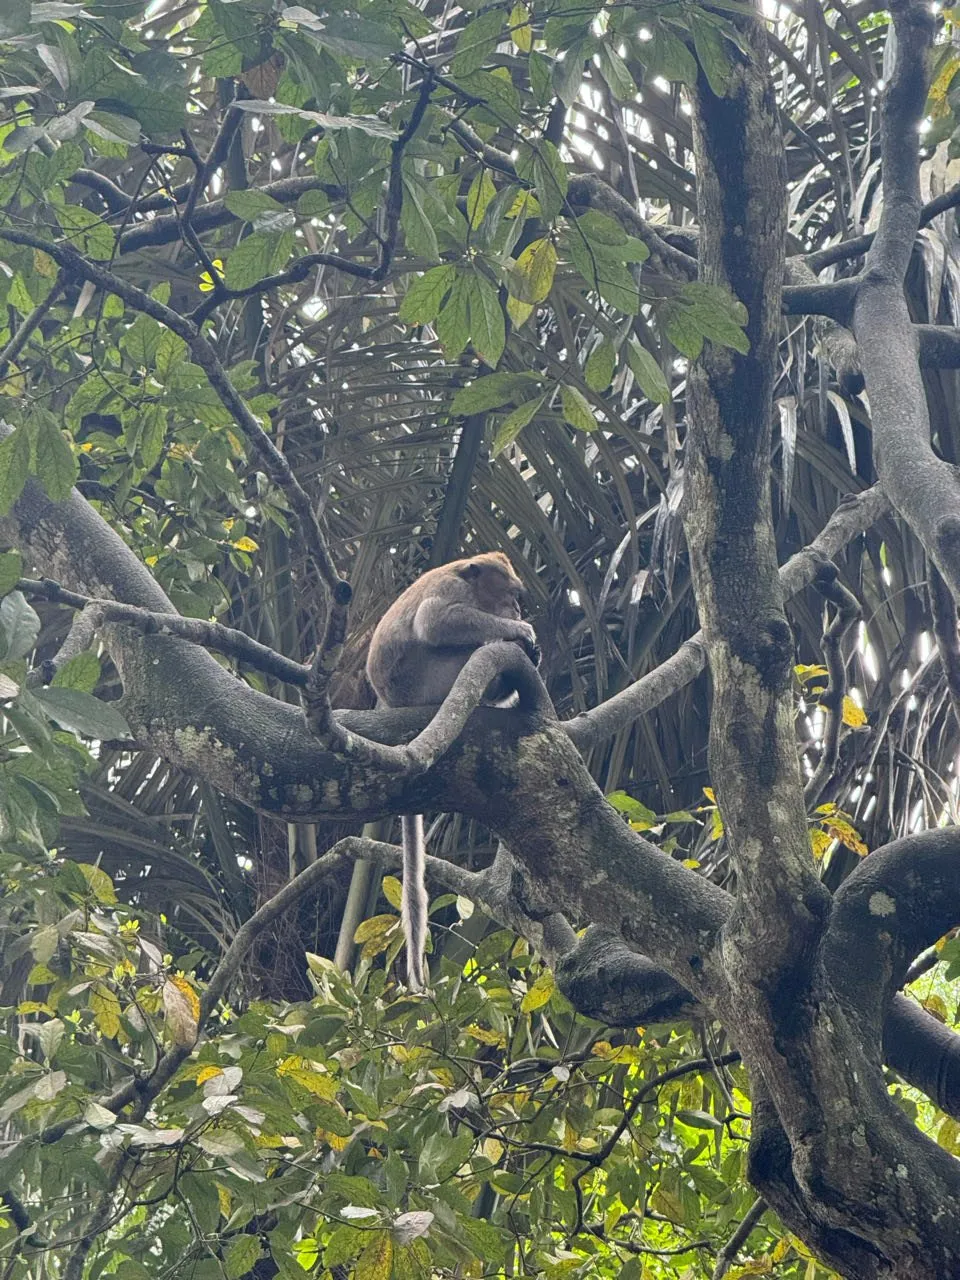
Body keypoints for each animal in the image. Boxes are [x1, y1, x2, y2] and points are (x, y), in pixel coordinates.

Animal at [366, 552, 540, 990]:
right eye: (512, 595)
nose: (516, 611)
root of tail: (391, 701)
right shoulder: (453, 590)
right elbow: (435, 620)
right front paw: (521, 631)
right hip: (434, 681)